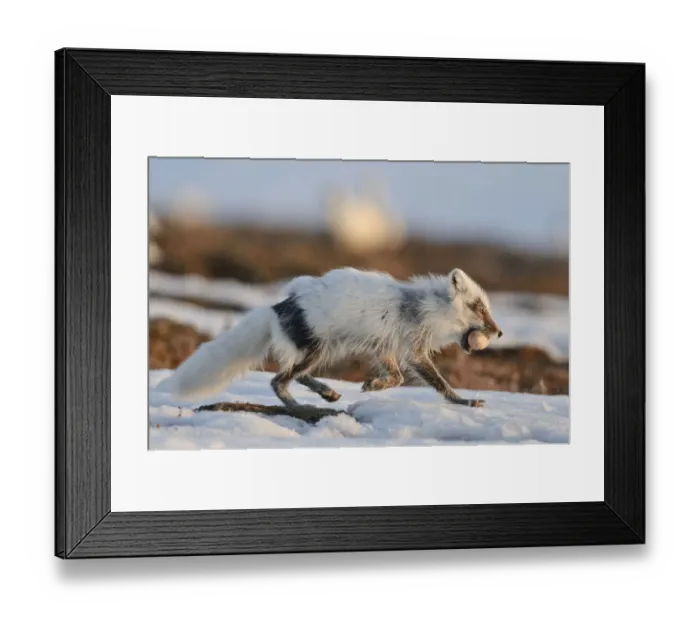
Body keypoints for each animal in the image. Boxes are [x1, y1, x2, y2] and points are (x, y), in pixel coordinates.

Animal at [158, 267, 503, 408]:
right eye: (478, 308)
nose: (499, 332)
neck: (425, 307)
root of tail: (279, 306)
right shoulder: (412, 350)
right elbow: (442, 385)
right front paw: (464, 401)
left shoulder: (386, 348)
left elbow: (396, 379)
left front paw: (372, 385)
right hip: (317, 349)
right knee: (279, 381)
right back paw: (299, 405)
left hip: (323, 351)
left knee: (295, 376)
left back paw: (328, 393)